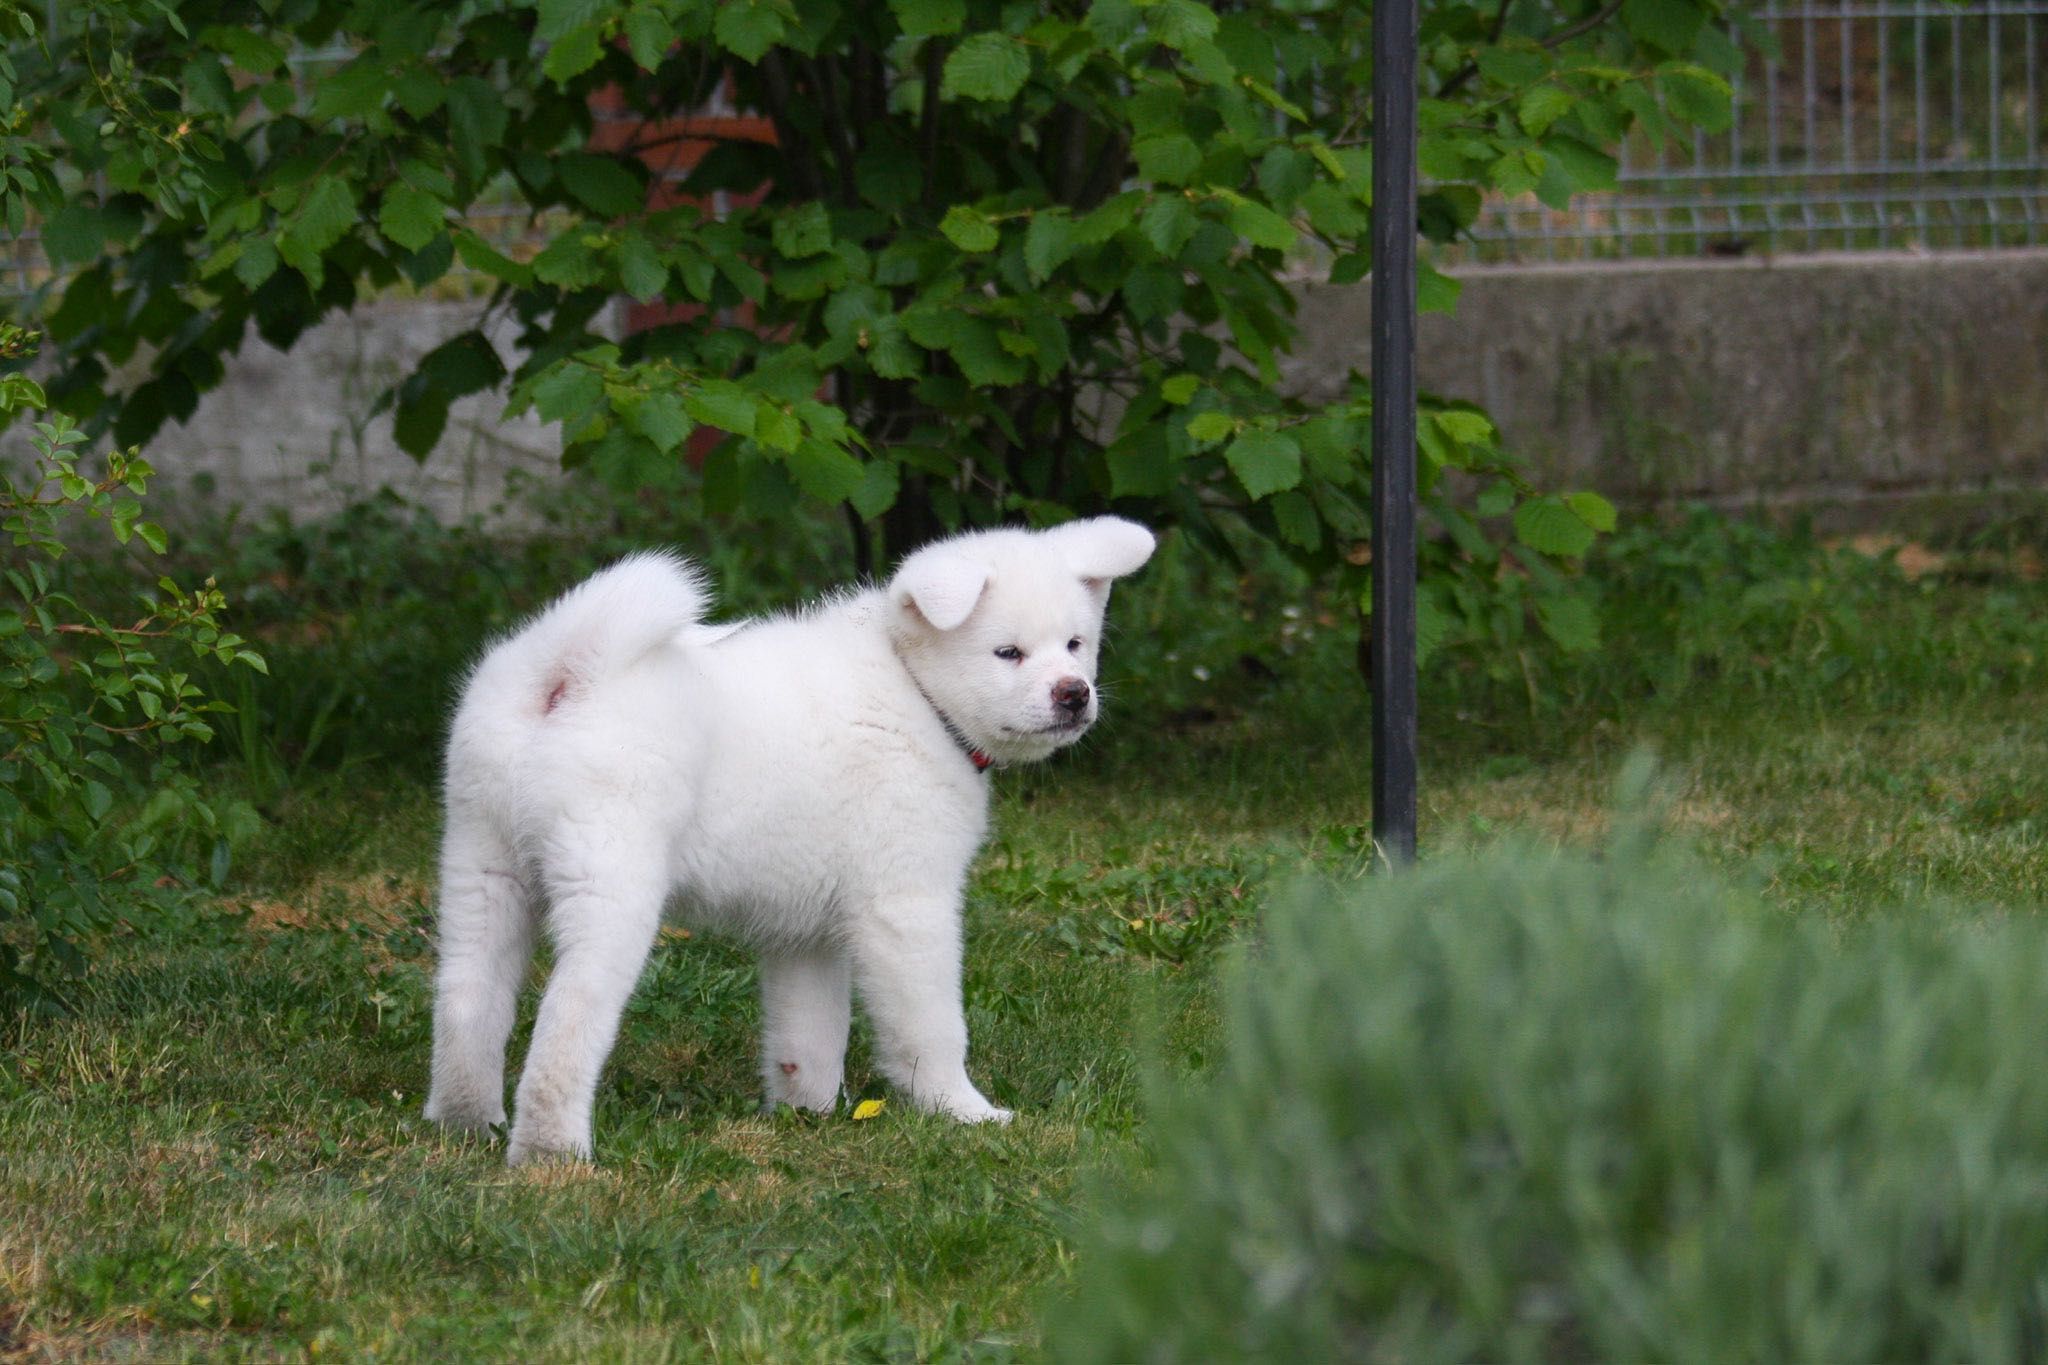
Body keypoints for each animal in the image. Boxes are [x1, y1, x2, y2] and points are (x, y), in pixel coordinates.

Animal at [419, 515, 1155, 1162]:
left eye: (1076, 644)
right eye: (1008, 653)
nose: (1073, 693)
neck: (914, 691)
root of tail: (568, 674)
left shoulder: (807, 933)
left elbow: (810, 1035)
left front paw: (808, 1116)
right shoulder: (905, 906)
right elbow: (932, 1025)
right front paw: (962, 1111)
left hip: (483, 864)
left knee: (466, 998)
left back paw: (465, 1124)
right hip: (610, 886)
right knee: (567, 1018)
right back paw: (551, 1153)